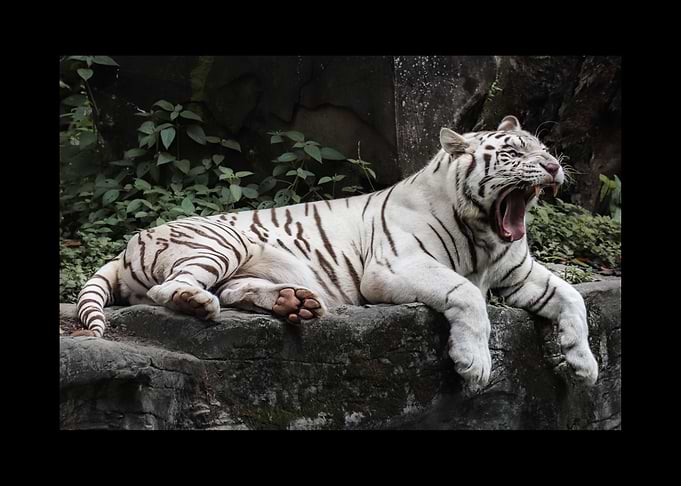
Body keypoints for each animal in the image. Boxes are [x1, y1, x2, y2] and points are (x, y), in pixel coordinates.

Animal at [72, 115, 599, 390]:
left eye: (542, 147)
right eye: (513, 153)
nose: (555, 166)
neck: (486, 234)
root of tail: (127, 245)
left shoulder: (520, 272)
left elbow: (573, 298)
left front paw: (585, 365)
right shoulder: (393, 267)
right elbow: (466, 294)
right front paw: (475, 364)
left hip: (249, 266)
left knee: (237, 290)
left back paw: (296, 303)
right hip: (219, 244)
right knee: (170, 290)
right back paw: (200, 304)